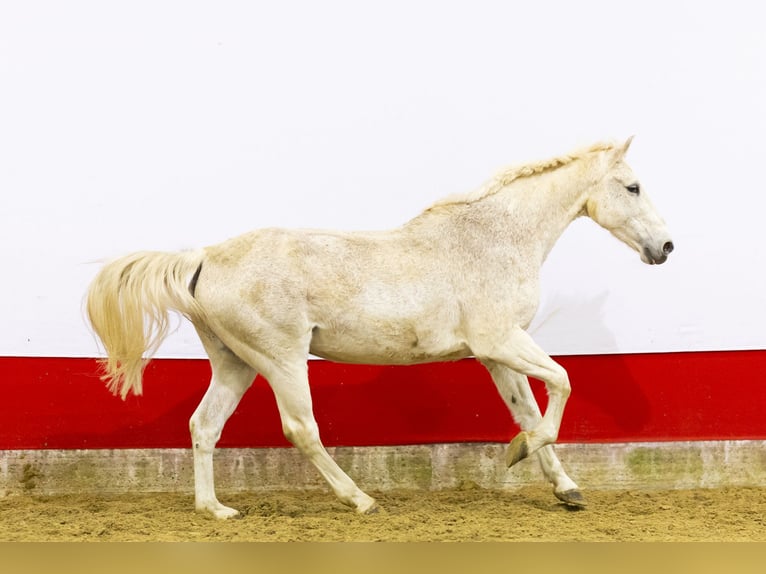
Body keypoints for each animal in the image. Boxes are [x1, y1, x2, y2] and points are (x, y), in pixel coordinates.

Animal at [86, 137, 673, 519]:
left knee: (204, 426)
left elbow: (531, 409)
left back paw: (215, 510)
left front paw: (566, 488)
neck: (494, 238)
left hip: (235, 364)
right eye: (633, 186)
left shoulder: (495, 354)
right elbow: (563, 382)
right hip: (281, 359)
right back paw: (360, 499)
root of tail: (205, 256)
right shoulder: (501, 340)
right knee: (301, 429)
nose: (665, 247)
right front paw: (516, 453)